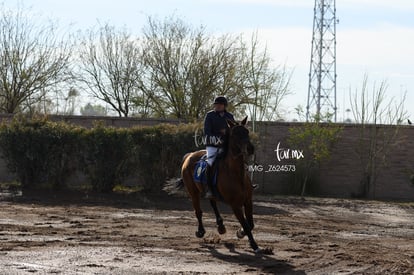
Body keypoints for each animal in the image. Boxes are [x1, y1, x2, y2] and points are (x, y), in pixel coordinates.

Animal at [178, 116, 266, 254]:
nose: (250, 148)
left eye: (246, 131)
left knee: (213, 203)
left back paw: (220, 226)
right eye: (235, 134)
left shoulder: (248, 201)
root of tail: (190, 155)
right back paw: (200, 231)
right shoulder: (235, 205)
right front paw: (254, 245)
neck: (235, 174)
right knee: (198, 211)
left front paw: (240, 233)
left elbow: (250, 224)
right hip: (193, 192)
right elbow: (246, 225)